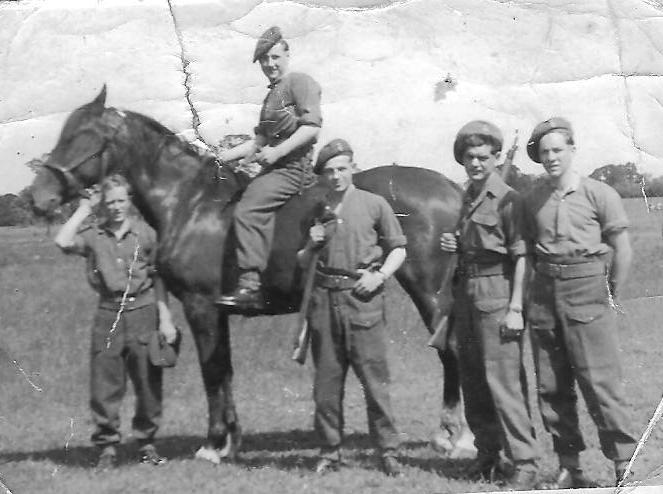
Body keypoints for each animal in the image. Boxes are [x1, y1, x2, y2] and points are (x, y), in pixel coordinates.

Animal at [31, 88, 472, 464]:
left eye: (82, 135)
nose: (38, 197)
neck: (191, 203)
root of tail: (452, 188)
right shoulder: (216, 311)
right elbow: (224, 371)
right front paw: (230, 442)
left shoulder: (201, 307)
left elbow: (211, 373)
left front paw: (213, 445)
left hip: (429, 290)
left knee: (450, 347)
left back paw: (455, 436)